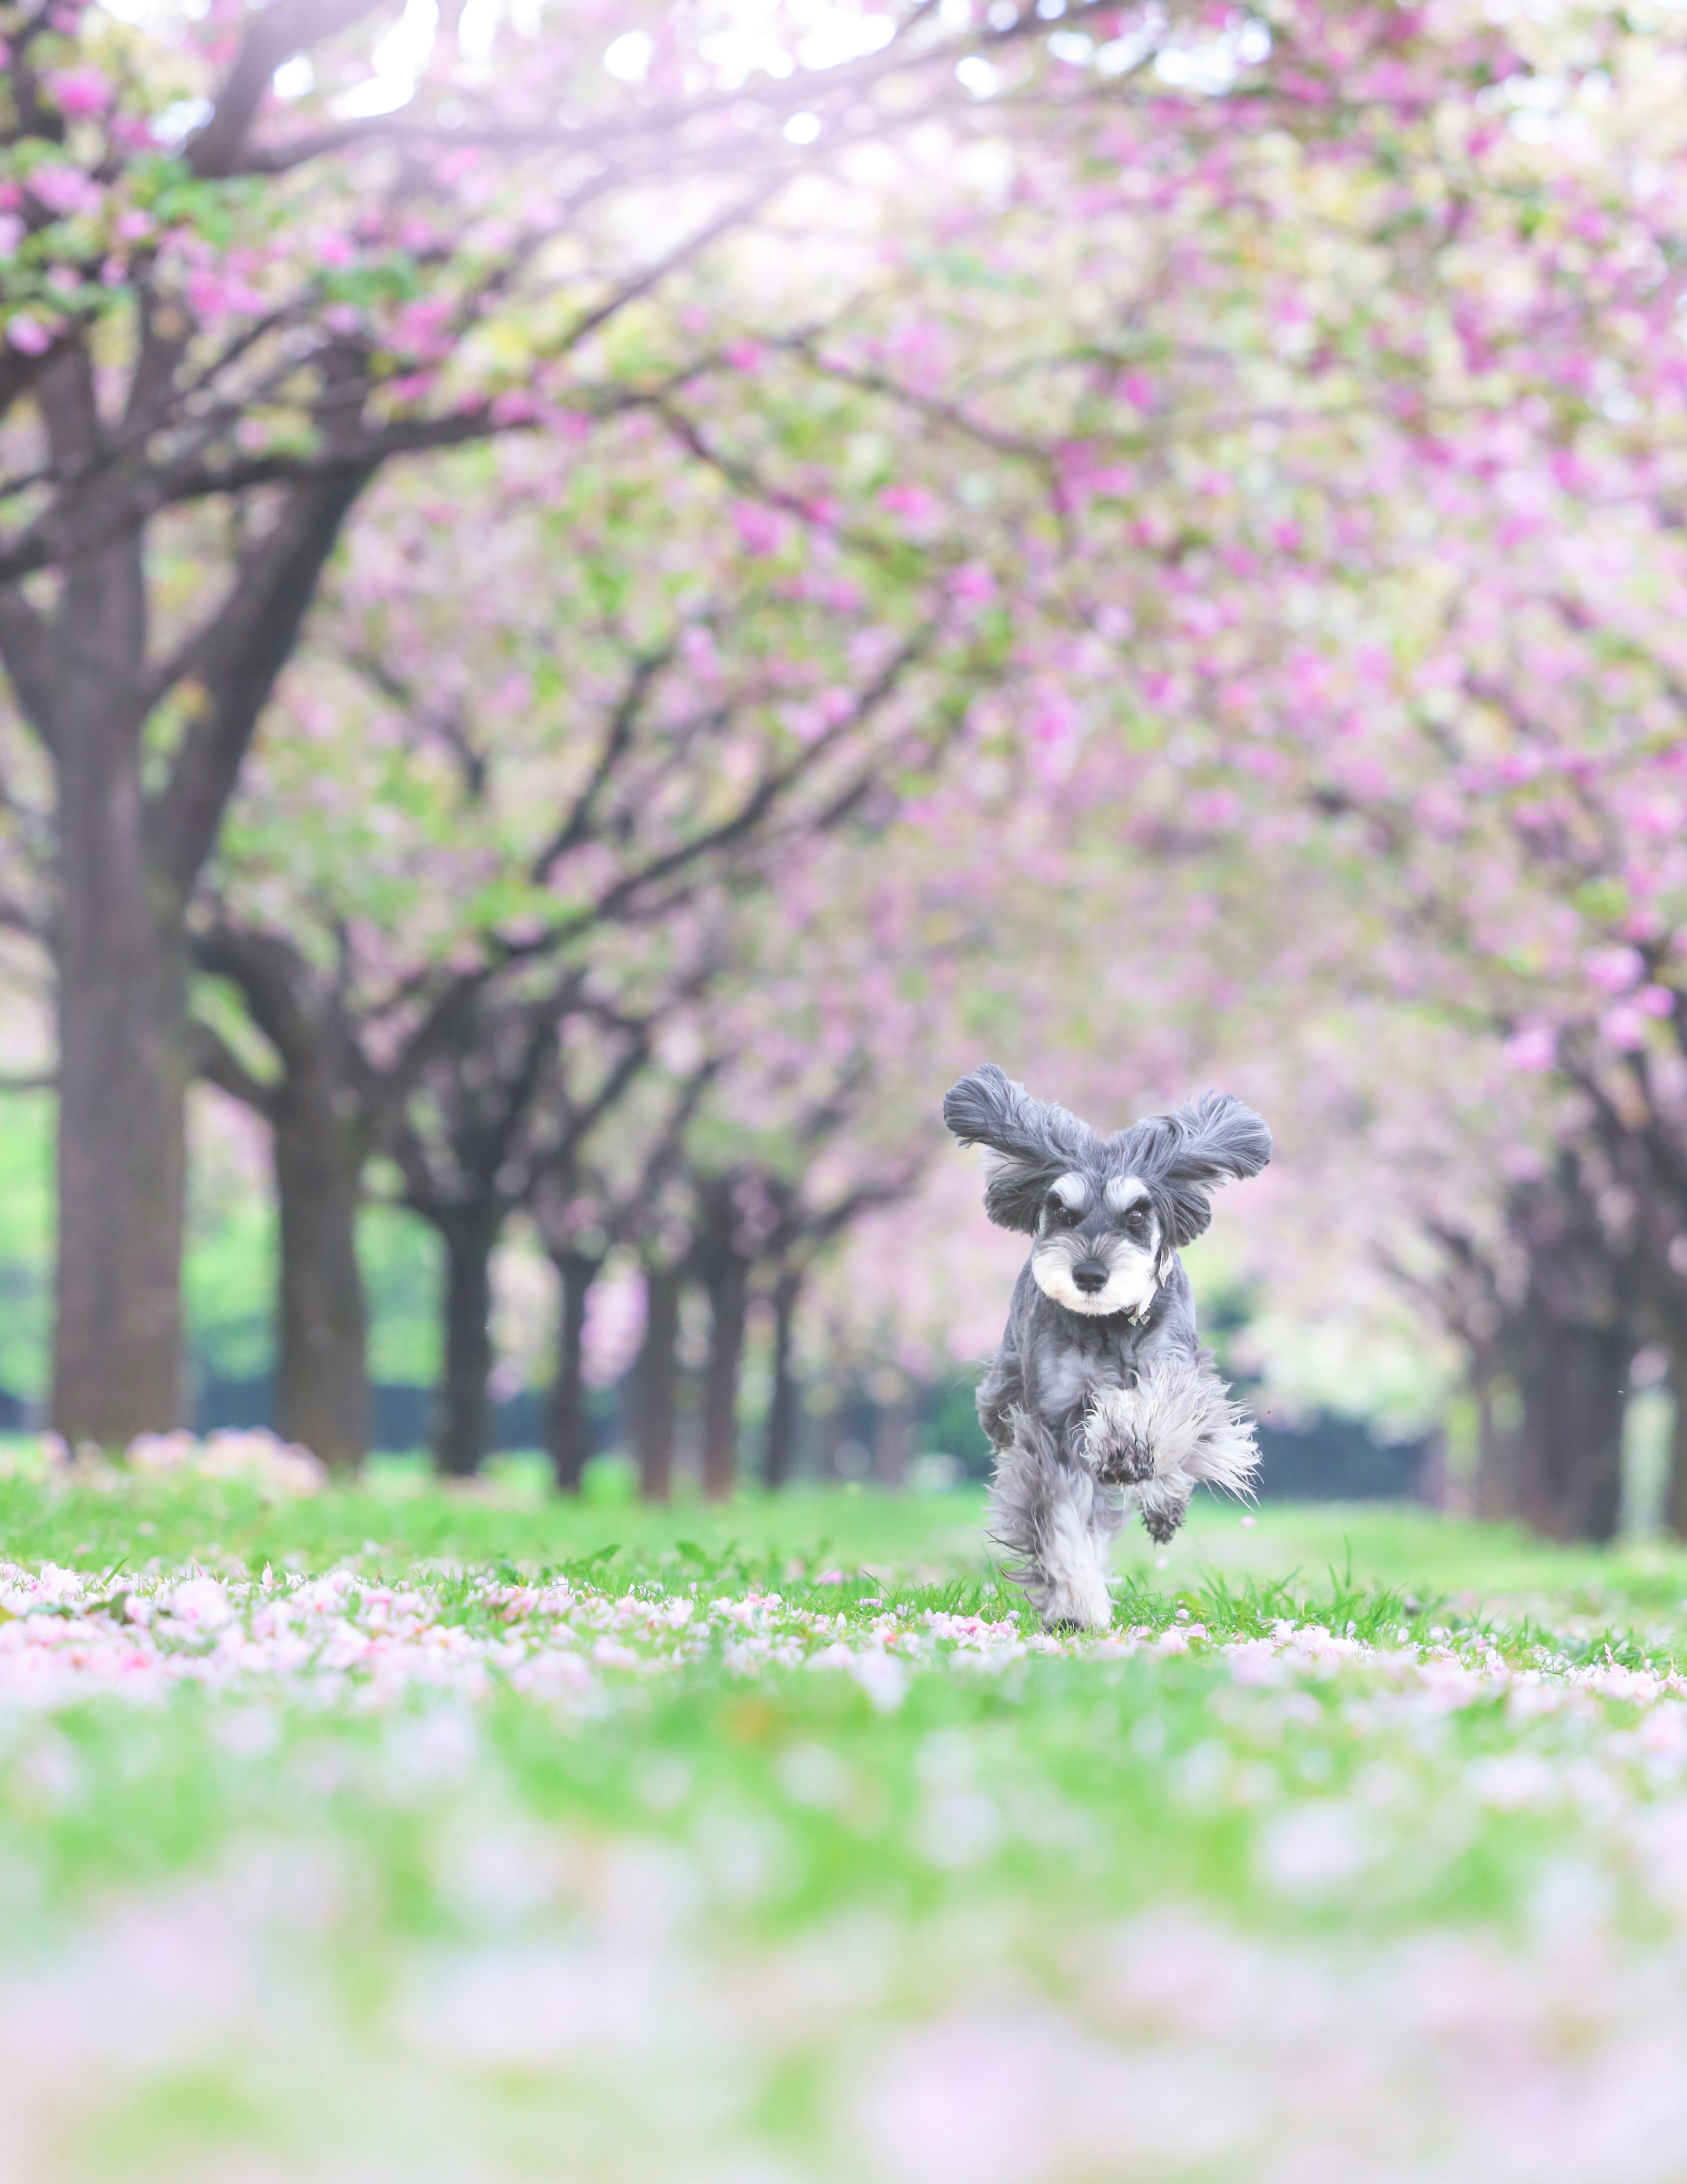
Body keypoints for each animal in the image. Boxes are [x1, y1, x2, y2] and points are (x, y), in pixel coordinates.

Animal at [943, 1066, 1274, 1633]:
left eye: (1137, 1214)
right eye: (1061, 1210)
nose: (1091, 1274)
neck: (1107, 1324)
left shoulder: (1175, 1368)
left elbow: (1159, 1414)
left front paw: (1129, 1444)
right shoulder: (1052, 1422)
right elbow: (1063, 1521)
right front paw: (1076, 1603)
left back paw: (1163, 1501)